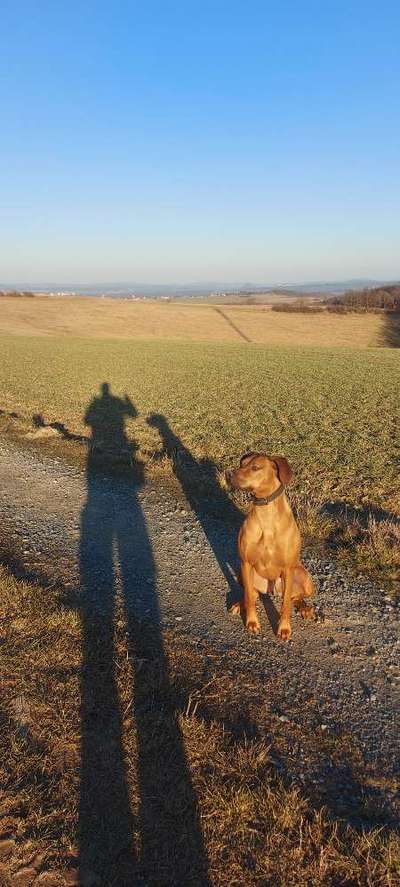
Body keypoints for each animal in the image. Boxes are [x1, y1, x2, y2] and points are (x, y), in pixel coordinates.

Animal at [227, 454, 314, 640]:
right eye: (241, 464)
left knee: (294, 597)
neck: (266, 513)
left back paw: (305, 608)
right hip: (241, 573)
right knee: (252, 594)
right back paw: (239, 604)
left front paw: (284, 628)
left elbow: (286, 604)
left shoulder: (288, 569)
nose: (230, 475)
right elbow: (249, 597)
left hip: (303, 576)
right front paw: (252, 622)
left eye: (255, 467)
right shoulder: (246, 562)